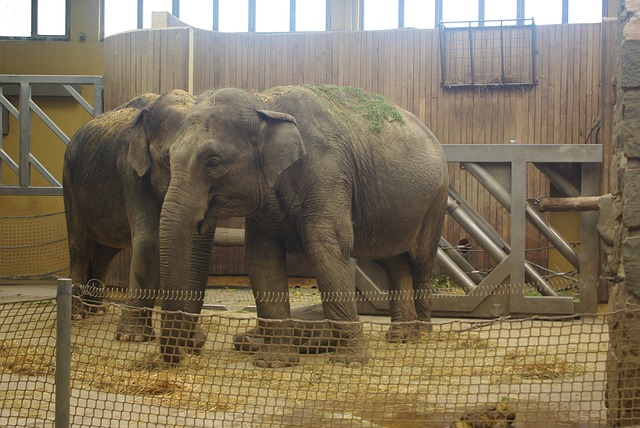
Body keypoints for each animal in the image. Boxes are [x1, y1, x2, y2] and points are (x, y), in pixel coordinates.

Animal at [64, 88, 198, 342]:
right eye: (168, 158)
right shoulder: (130, 171)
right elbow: (149, 239)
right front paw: (132, 337)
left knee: (105, 251)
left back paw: (97, 310)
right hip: (69, 183)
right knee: (80, 246)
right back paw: (77, 315)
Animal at [159, 85, 450, 366]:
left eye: (213, 162)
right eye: (168, 157)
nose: (189, 351)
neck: (263, 102)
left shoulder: (327, 174)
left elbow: (328, 249)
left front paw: (351, 362)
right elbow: (263, 260)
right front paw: (274, 362)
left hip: (437, 200)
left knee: (421, 261)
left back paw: (422, 333)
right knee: (394, 261)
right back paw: (401, 336)